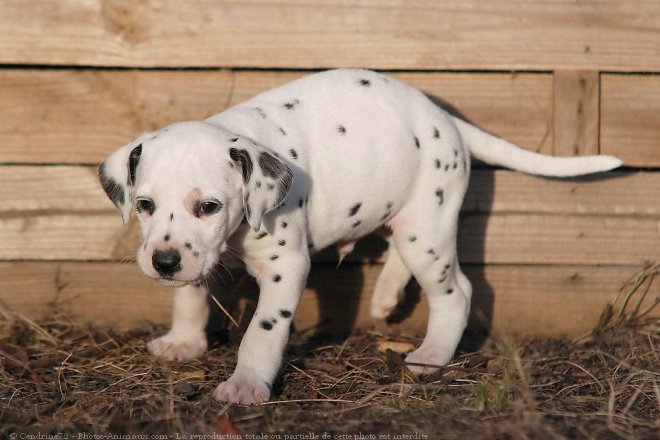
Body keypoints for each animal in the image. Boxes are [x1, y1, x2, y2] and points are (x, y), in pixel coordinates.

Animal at [96, 69, 620, 406]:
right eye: (143, 205)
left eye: (208, 207)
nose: (163, 262)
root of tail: (444, 116)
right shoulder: (196, 259)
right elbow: (189, 296)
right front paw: (184, 341)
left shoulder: (286, 267)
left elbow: (262, 332)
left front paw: (246, 383)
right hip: (409, 219)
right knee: (399, 251)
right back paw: (387, 296)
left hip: (429, 228)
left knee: (457, 292)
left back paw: (432, 354)